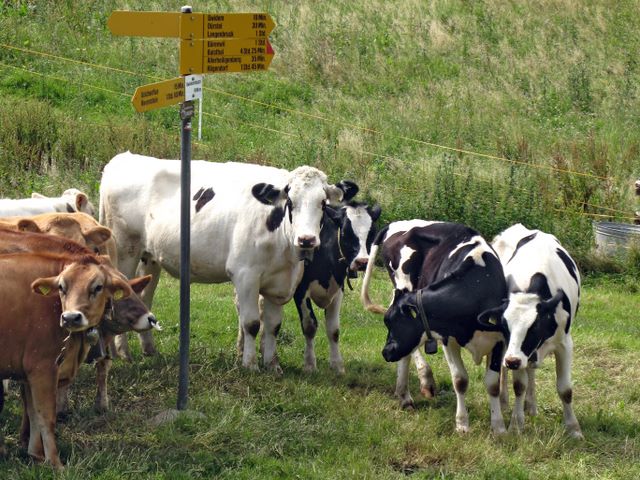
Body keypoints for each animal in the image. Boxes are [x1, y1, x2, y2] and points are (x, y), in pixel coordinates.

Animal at [0, 251, 134, 468]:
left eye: (98, 287)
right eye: (62, 287)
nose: (71, 317)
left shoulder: (29, 374)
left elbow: (33, 413)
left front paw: (36, 455)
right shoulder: (42, 368)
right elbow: (47, 417)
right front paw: (55, 463)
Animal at [100, 152, 351, 372]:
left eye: (322, 203)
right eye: (290, 201)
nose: (307, 239)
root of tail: (123, 158)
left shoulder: (279, 283)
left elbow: (273, 326)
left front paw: (272, 365)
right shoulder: (245, 275)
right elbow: (252, 323)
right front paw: (250, 365)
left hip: (149, 257)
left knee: (143, 297)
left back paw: (148, 350)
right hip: (125, 250)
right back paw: (122, 353)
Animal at [292, 199, 381, 373]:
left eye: (372, 233)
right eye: (345, 233)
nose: (362, 262)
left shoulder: (337, 290)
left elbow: (334, 330)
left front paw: (337, 365)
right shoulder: (300, 290)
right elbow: (310, 326)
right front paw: (310, 365)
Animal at [361, 221, 508, 434]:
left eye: (393, 322)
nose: (386, 352)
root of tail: (395, 225)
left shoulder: (500, 339)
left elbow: (492, 384)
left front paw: (499, 427)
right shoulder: (448, 337)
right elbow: (460, 380)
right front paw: (462, 424)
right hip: (403, 283)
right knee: (409, 353)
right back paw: (413, 389)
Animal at [487, 223, 583, 439]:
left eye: (535, 327)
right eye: (504, 326)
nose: (512, 361)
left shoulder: (565, 344)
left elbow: (565, 389)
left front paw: (574, 428)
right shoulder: (510, 347)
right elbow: (519, 386)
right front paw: (516, 424)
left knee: (530, 370)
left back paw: (531, 405)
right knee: (507, 371)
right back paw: (505, 401)